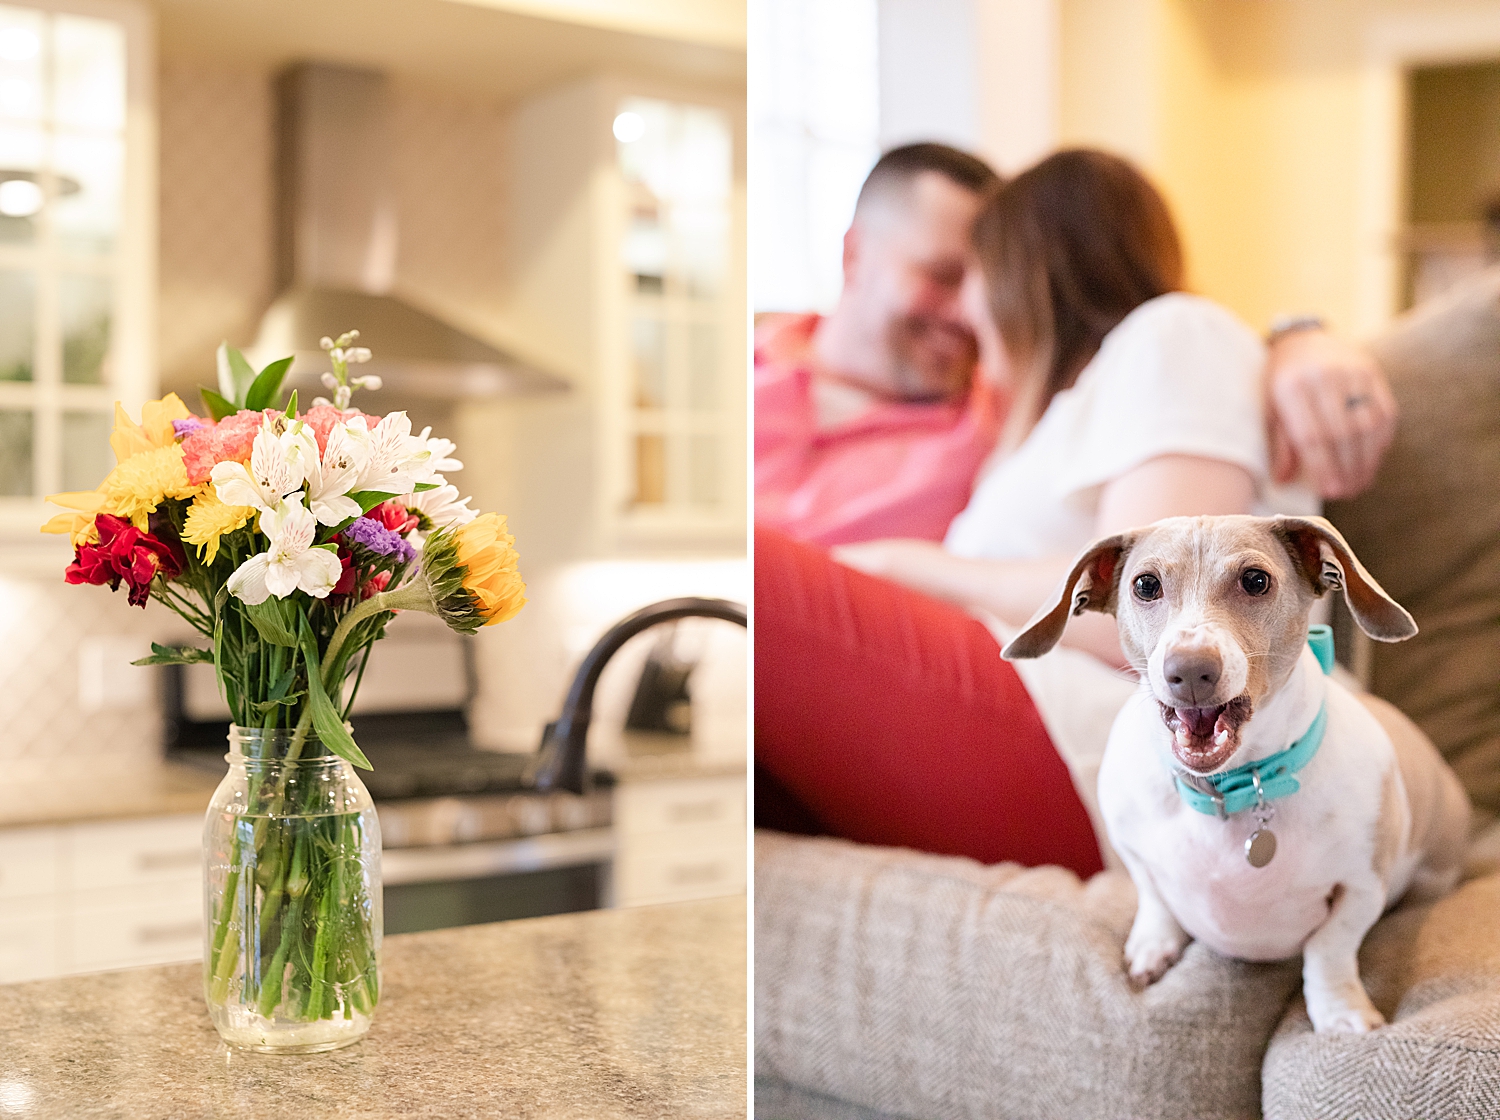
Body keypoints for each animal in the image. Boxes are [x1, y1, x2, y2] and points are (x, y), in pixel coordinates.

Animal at [1002, 515, 1470, 1031]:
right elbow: (1154, 898)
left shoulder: (1363, 888)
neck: (1229, 790)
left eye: (1256, 581)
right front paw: (1153, 945)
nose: (1189, 670)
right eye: (1146, 585)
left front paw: (1340, 1010)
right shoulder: (1132, 852)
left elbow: (1330, 948)